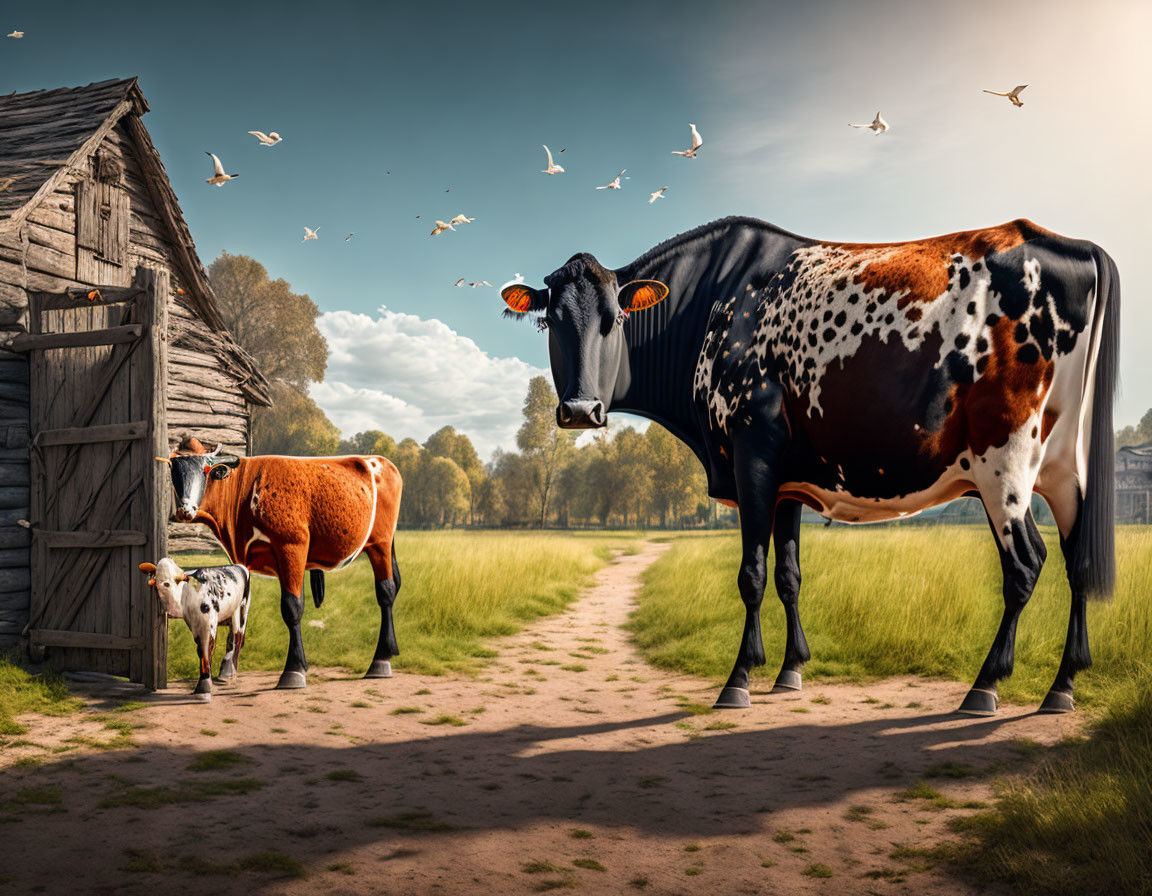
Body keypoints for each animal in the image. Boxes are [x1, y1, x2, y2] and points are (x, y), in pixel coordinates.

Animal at [140, 557, 251, 700]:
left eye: (177, 579)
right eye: (157, 577)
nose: (165, 584)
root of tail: (239, 566)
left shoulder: (209, 623)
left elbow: (207, 651)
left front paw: (204, 687)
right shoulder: (194, 625)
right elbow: (200, 650)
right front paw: (203, 686)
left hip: (242, 609)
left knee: (238, 637)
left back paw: (229, 674)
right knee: (232, 638)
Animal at [157, 442, 400, 686]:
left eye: (205, 471)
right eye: (173, 472)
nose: (185, 510)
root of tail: (380, 460)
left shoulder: (291, 547)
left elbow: (292, 606)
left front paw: (294, 670)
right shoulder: (240, 560)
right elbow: (240, 611)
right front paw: (228, 669)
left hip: (380, 543)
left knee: (386, 591)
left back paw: (380, 661)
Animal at [504, 216, 1115, 714]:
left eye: (615, 319)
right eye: (550, 321)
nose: (581, 410)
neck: (711, 307)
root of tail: (1064, 241)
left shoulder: (752, 453)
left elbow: (752, 574)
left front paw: (739, 680)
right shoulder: (790, 481)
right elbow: (789, 575)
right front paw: (790, 671)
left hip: (1003, 462)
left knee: (1026, 564)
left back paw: (984, 687)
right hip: (1064, 469)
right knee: (1077, 559)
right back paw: (1062, 687)